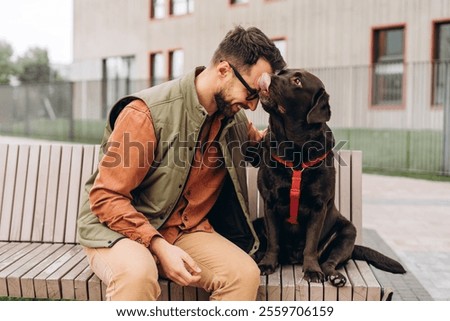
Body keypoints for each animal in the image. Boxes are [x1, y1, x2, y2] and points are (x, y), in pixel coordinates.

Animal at [255, 69, 406, 286]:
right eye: (281, 73)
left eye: (297, 81)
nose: (268, 75)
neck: (295, 148)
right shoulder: (270, 203)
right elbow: (273, 241)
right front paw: (267, 264)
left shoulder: (318, 206)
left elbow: (311, 245)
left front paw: (312, 270)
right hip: (258, 222)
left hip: (347, 231)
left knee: (330, 261)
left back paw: (334, 276)